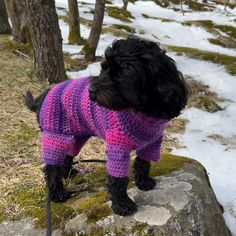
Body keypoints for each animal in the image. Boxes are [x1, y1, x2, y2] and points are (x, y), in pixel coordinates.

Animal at [25, 36, 188, 216]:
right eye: (103, 68)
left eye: (121, 74)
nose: (91, 91)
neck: (142, 110)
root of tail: (42, 97)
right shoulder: (118, 146)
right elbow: (118, 179)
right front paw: (122, 205)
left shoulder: (152, 143)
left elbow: (143, 163)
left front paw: (144, 183)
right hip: (56, 135)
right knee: (51, 167)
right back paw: (58, 193)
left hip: (76, 136)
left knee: (67, 156)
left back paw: (68, 174)